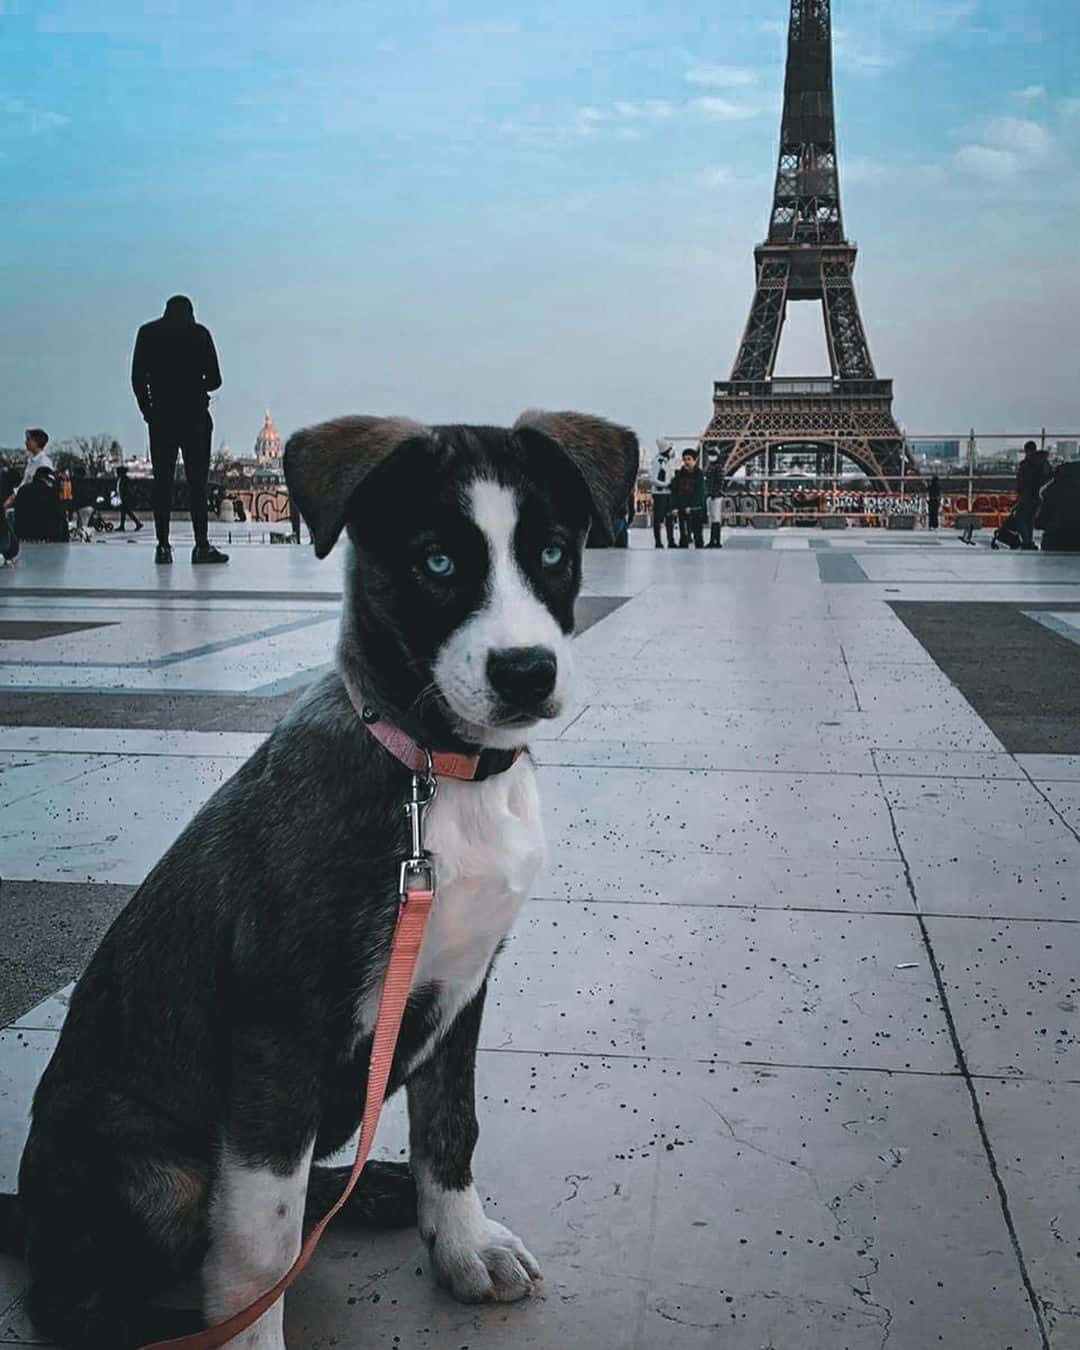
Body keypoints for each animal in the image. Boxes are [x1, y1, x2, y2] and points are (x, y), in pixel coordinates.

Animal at [0, 413, 637, 1350]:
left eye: (555, 552)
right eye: (436, 563)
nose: (526, 672)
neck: (436, 775)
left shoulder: (462, 986)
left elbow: (452, 1126)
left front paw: (463, 1245)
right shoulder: (280, 1029)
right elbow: (257, 1244)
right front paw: (250, 1331)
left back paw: (371, 1189)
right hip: (151, 1168)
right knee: (80, 1292)